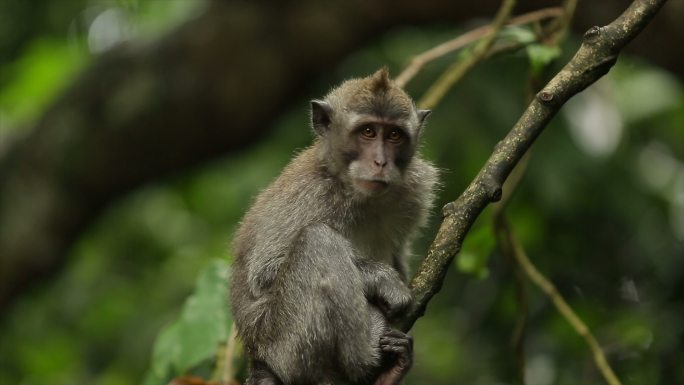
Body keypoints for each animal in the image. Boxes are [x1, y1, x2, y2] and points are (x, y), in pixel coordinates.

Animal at [230, 68, 438, 384]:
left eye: (394, 135)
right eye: (368, 132)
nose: (380, 162)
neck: (355, 193)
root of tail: (258, 357)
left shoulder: (415, 190)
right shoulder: (309, 194)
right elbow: (266, 272)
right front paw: (384, 280)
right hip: (285, 346)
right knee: (318, 241)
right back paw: (366, 359)